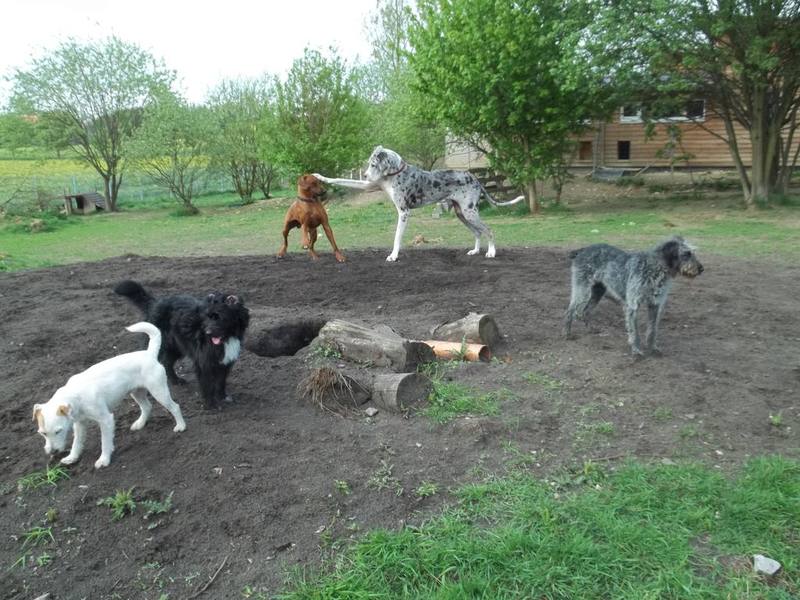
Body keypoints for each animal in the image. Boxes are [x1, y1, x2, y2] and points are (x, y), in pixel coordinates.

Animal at [33, 322, 186, 469]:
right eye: (43, 433)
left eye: (58, 431)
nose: (52, 452)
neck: (75, 395)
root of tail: (149, 354)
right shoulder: (80, 424)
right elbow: (77, 443)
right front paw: (72, 457)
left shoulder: (105, 420)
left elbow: (105, 442)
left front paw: (104, 459)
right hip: (136, 392)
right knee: (147, 407)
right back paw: (140, 423)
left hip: (159, 391)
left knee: (175, 407)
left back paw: (181, 425)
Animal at [114, 280, 250, 409]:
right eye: (207, 317)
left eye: (219, 317)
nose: (207, 333)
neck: (227, 338)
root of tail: (154, 304)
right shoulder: (204, 362)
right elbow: (207, 385)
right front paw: (211, 404)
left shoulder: (225, 362)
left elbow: (221, 381)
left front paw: (222, 396)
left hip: (175, 347)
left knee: (167, 363)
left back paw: (176, 380)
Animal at [313, 146, 524, 261]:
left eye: (373, 164)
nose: (364, 175)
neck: (395, 173)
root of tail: (476, 178)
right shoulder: (369, 186)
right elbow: (340, 180)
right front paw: (320, 176)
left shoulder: (404, 212)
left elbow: (397, 237)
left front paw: (394, 256)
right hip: (462, 214)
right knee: (478, 232)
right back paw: (475, 250)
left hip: (469, 213)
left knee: (488, 230)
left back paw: (491, 252)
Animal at [563, 236, 703, 356]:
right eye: (686, 254)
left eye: (692, 253)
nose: (701, 269)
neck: (654, 268)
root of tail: (582, 250)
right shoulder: (632, 306)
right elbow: (634, 332)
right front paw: (636, 351)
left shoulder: (655, 305)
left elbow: (652, 330)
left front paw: (653, 348)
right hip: (582, 291)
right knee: (570, 311)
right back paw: (567, 334)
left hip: (598, 291)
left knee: (585, 311)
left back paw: (591, 329)